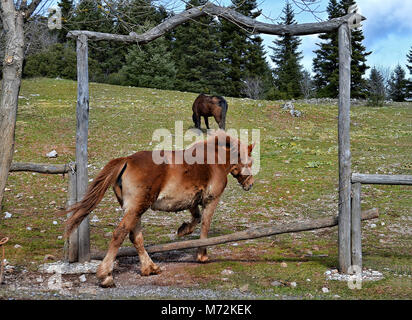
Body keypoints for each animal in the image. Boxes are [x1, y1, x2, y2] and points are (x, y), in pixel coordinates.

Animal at [62, 130, 253, 288]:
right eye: (250, 161)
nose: (250, 184)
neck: (213, 160)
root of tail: (127, 160)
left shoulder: (192, 201)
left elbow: (196, 218)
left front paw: (184, 230)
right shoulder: (211, 200)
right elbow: (205, 225)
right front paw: (202, 255)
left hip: (134, 210)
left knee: (135, 237)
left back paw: (149, 267)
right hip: (137, 209)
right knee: (119, 234)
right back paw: (106, 275)